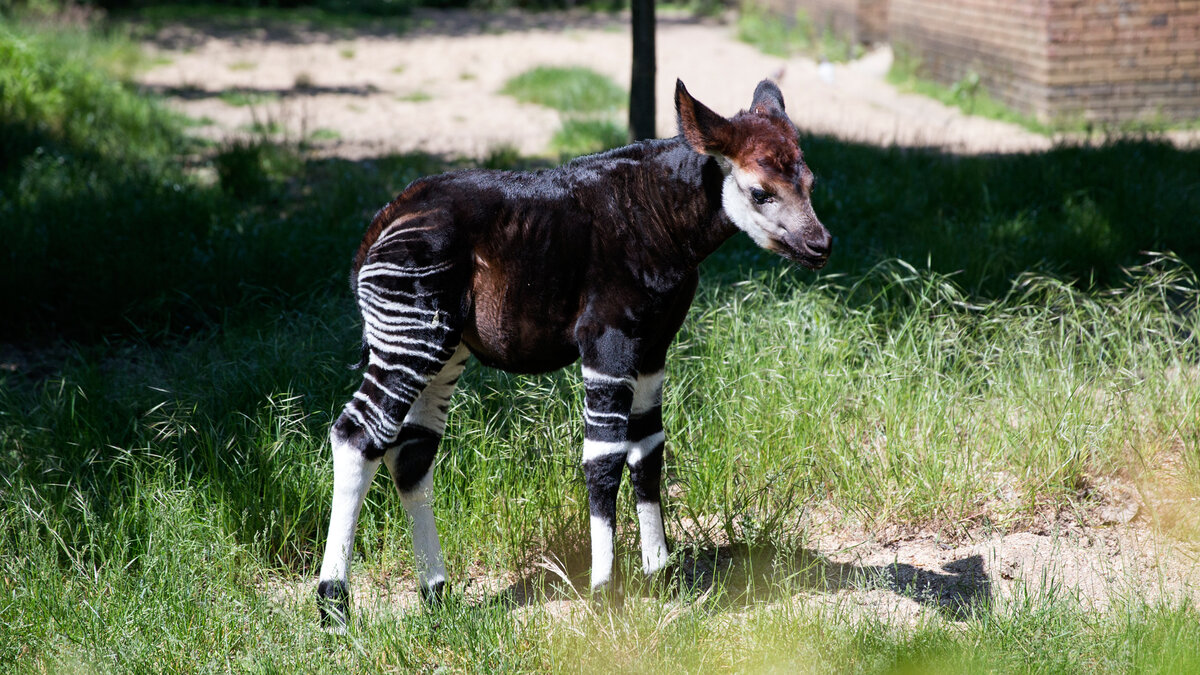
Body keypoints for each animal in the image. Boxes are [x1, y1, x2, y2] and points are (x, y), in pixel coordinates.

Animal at [314, 78, 830, 624]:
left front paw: (661, 575)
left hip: (442, 346)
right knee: (357, 435)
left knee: (411, 452)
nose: (821, 245)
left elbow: (648, 451)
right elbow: (603, 458)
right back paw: (334, 608)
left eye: (811, 182)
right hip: (413, 334)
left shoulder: (653, 348)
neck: (662, 216)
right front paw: (605, 592)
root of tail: (384, 219)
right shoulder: (608, 340)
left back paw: (438, 595)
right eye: (760, 192)